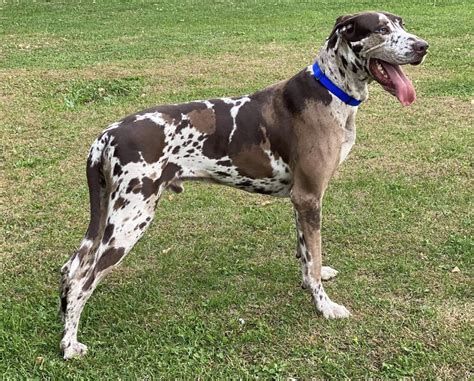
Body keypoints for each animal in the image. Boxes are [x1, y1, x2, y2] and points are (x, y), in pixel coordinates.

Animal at [60, 10, 430, 358]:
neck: (330, 89)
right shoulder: (310, 196)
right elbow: (314, 255)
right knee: (81, 282)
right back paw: (69, 346)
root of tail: (107, 135)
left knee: (70, 269)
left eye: (401, 23)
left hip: (109, 215)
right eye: (381, 29)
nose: (423, 46)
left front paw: (311, 279)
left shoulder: (300, 199)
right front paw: (324, 306)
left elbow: (306, 254)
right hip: (130, 220)